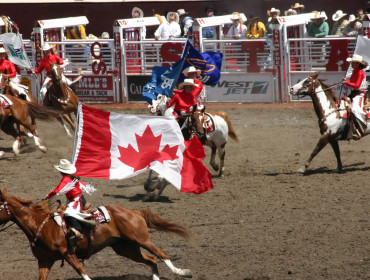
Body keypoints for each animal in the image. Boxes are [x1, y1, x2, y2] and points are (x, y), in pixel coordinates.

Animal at [0, 188, 195, 280]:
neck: (42, 225)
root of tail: (134, 211)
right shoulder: (45, 261)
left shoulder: (68, 253)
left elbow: (81, 270)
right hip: (125, 248)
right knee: (151, 259)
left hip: (140, 239)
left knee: (160, 253)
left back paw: (183, 272)